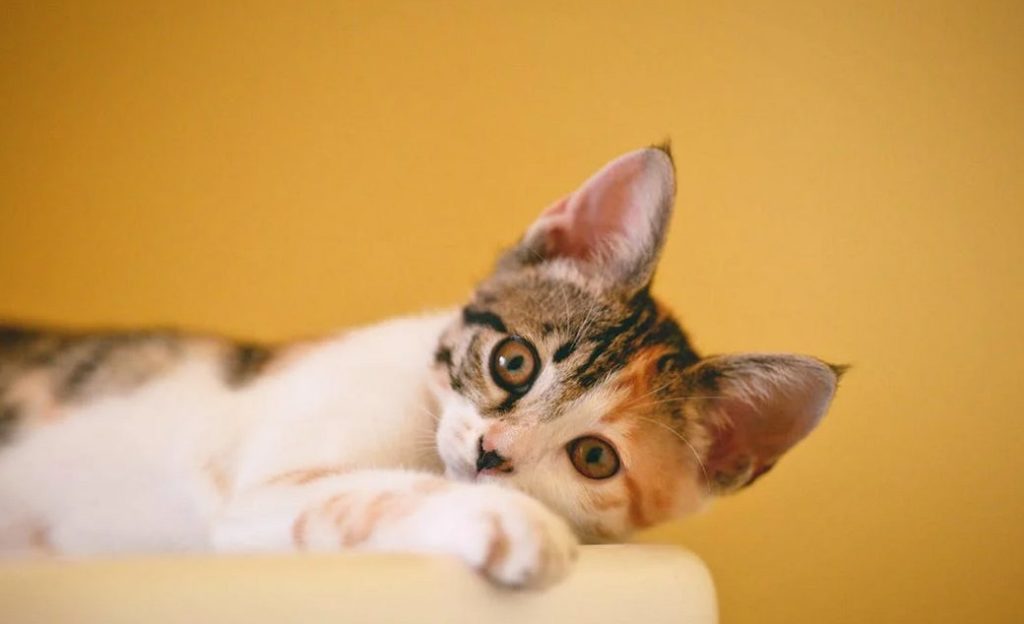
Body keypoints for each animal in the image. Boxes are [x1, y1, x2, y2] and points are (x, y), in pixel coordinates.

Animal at [0, 145, 839, 590]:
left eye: (595, 458)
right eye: (513, 363)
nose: (492, 455)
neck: (424, 431)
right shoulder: (257, 492)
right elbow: (363, 491)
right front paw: (511, 524)